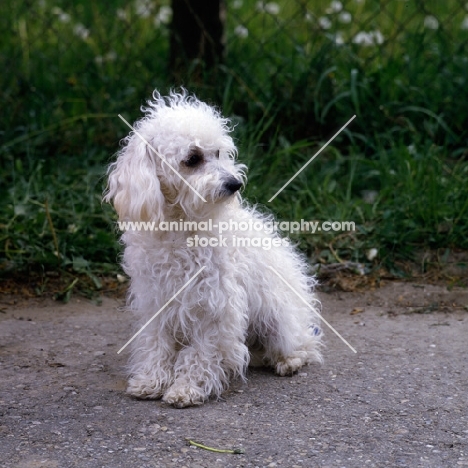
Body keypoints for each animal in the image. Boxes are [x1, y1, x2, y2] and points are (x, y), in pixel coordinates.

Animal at [106, 90, 324, 406]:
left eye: (219, 153)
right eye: (192, 158)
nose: (235, 183)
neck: (183, 227)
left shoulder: (216, 304)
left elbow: (202, 352)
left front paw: (188, 387)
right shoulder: (157, 300)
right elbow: (156, 344)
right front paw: (151, 380)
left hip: (278, 316)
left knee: (303, 342)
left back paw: (289, 360)